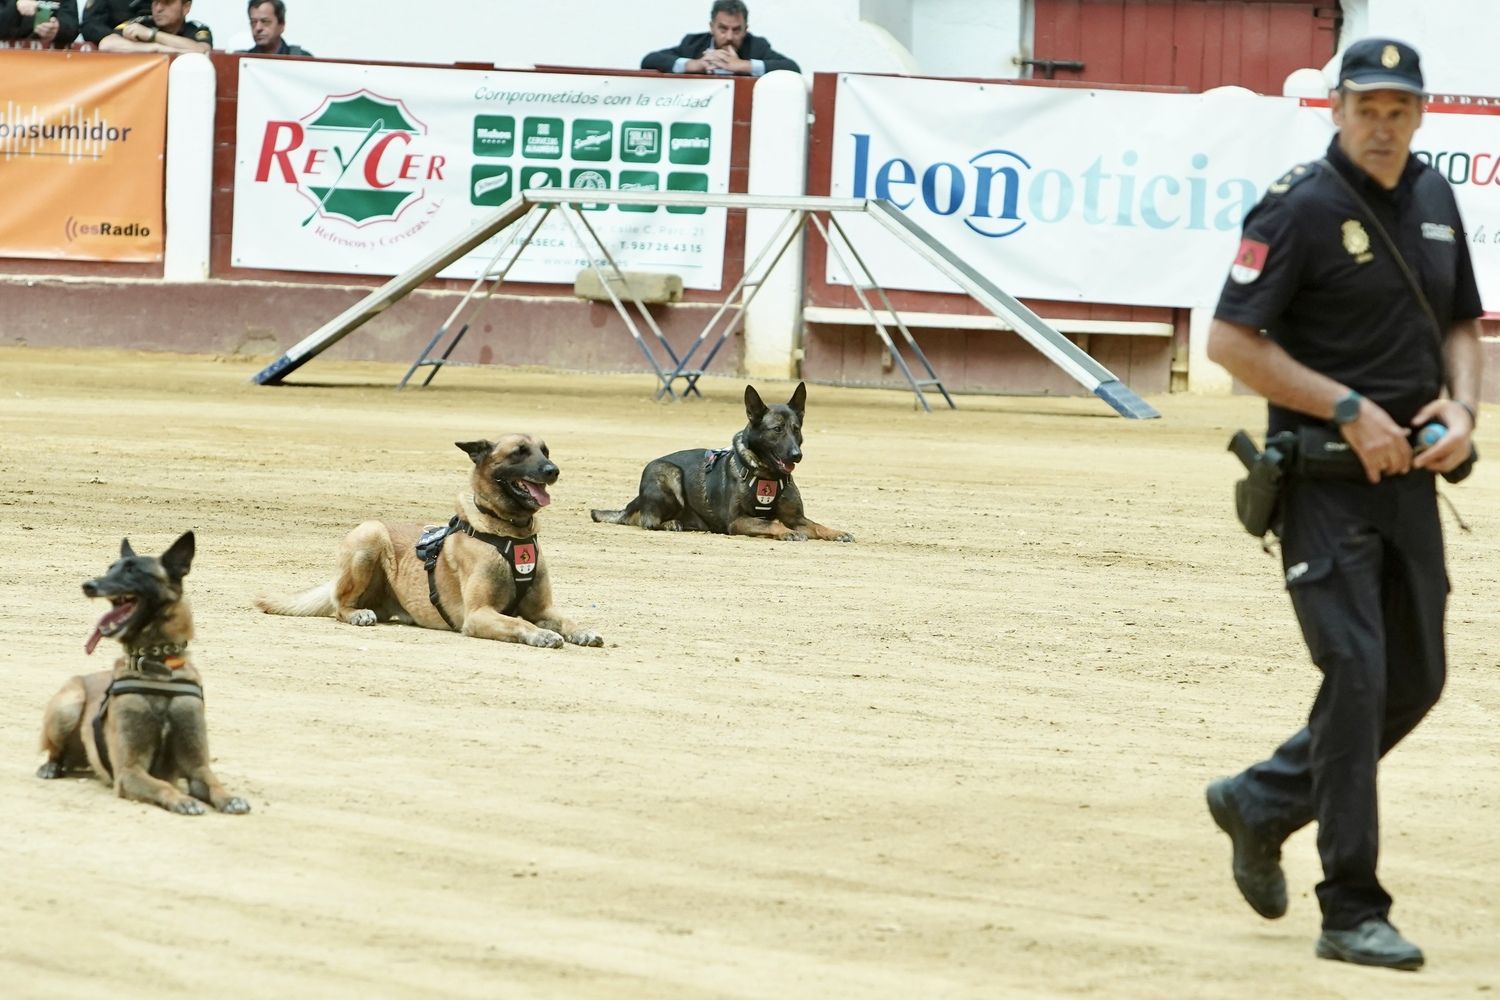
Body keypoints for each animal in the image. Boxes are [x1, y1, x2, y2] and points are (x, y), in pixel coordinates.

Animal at [36, 530, 253, 815]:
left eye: (133, 571)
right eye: (110, 568)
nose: (88, 585)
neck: (156, 663)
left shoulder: (197, 766)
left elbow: (214, 783)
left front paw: (231, 798)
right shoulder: (130, 770)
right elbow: (162, 786)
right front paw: (183, 800)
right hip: (69, 705)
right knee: (54, 750)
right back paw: (51, 766)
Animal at [258, 434, 603, 650]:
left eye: (546, 451)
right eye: (519, 452)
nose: (553, 470)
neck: (509, 532)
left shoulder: (543, 608)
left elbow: (567, 619)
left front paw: (582, 630)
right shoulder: (479, 614)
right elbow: (522, 624)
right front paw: (541, 635)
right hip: (370, 534)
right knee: (339, 606)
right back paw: (357, 614)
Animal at [594, 383, 858, 542]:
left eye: (796, 429)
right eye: (777, 429)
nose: (796, 455)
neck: (767, 475)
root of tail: (634, 502)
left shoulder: (797, 519)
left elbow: (817, 526)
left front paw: (836, 532)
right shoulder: (738, 521)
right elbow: (770, 524)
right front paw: (786, 532)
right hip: (666, 472)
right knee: (647, 521)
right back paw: (670, 523)